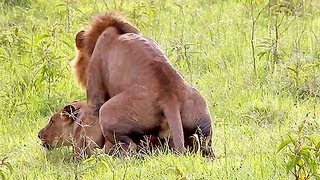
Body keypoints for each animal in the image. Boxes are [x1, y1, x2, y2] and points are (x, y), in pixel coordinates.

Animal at [74, 11, 215, 157]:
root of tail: (169, 97)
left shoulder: (95, 92)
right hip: (203, 121)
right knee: (206, 146)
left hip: (107, 113)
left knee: (130, 146)